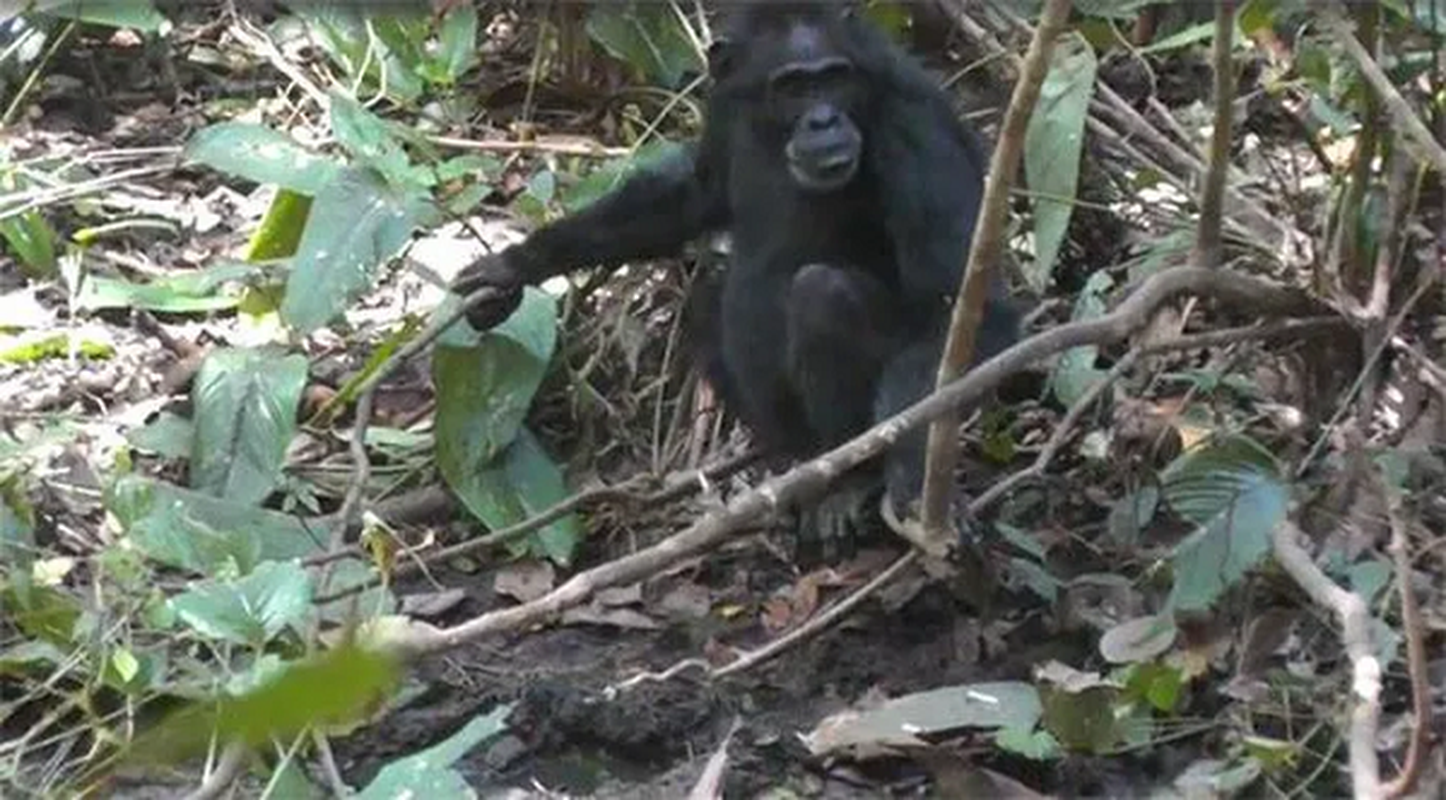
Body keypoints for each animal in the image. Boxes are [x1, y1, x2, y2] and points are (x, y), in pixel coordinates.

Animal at [451, 0, 1017, 546]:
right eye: (793, 86)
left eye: (833, 78)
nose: (823, 120)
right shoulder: (723, 110)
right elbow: (692, 194)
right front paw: (514, 266)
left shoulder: (915, 127)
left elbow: (960, 305)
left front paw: (912, 475)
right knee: (707, 299)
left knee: (824, 295)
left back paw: (851, 483)